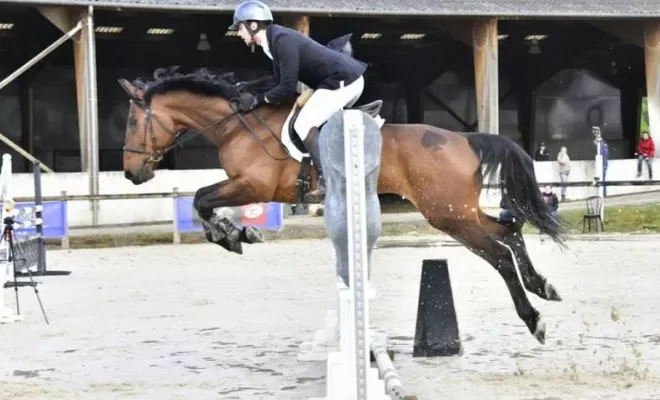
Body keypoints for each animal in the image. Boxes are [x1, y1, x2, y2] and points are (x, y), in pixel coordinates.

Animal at [118, 63, 568, 344]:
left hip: (447, 216)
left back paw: (534, 319)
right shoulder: (244, 186)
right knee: (510, 230)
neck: (236, 125)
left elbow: (201, 200)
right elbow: (202, 202)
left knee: (499, 253)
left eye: (133, 121)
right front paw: (236, 233)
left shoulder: (252, 186)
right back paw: (542, 285)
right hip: (458, 211)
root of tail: (464, 138)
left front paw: (234, 235)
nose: (131, 173)